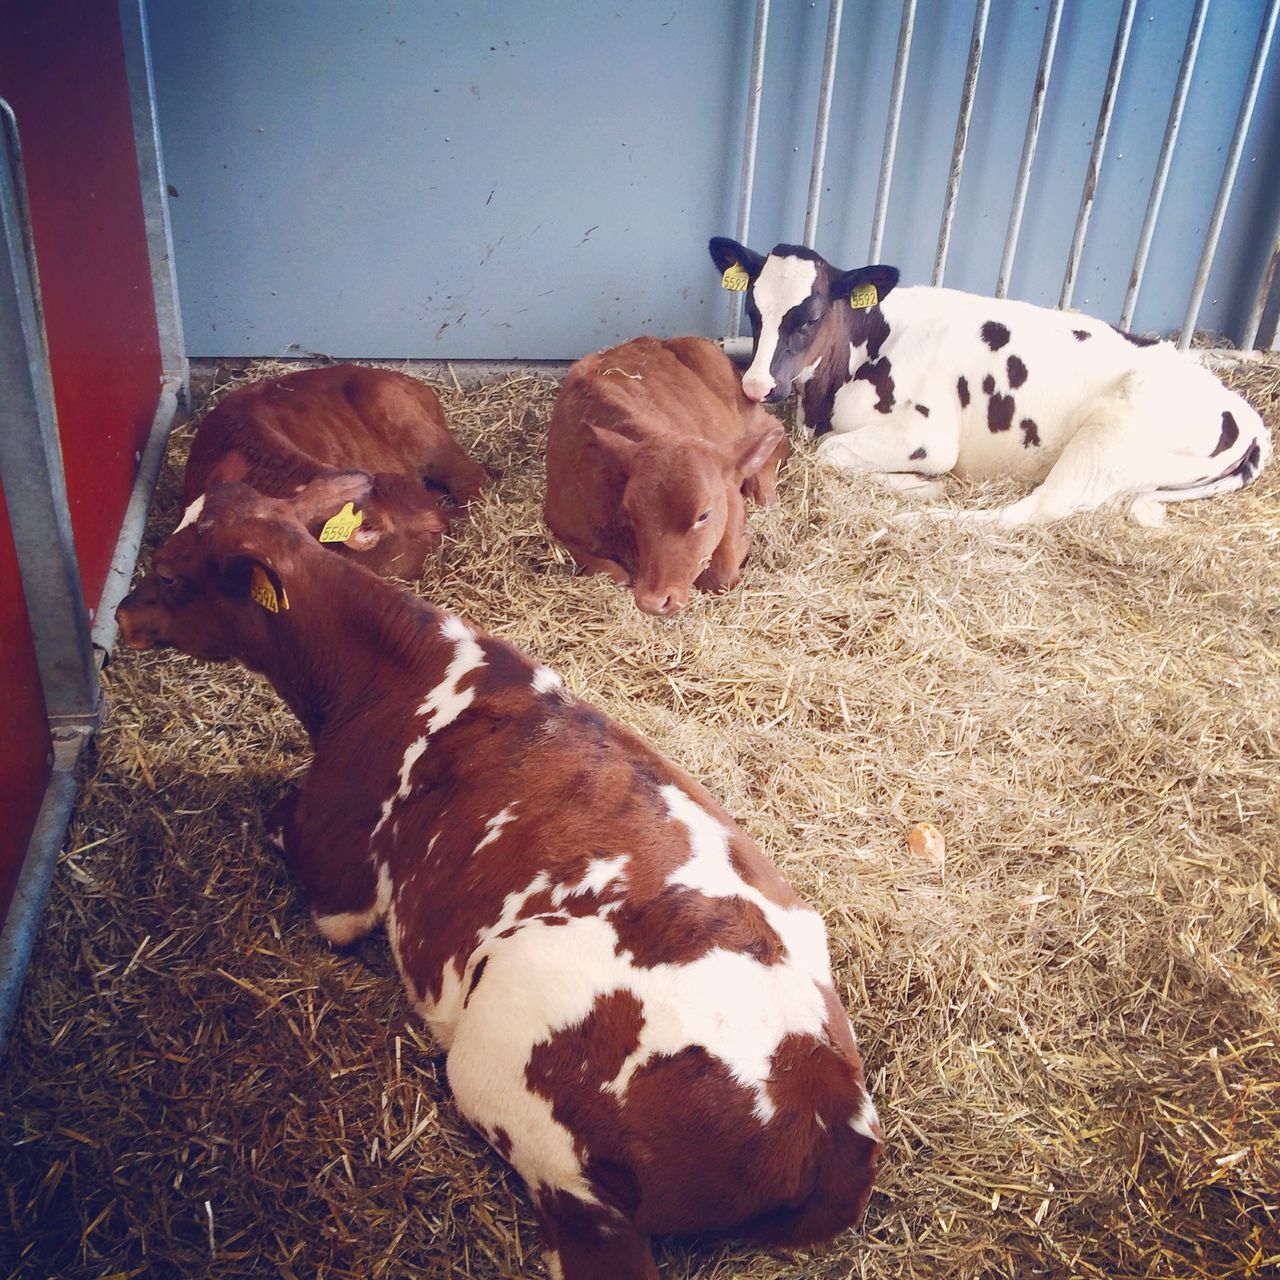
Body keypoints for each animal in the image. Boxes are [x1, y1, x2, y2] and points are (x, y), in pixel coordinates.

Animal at [115, 478, 880, 1280]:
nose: (123, 613)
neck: (395, 676)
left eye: (169, 574)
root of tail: (829, 1113)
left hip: (522, 1090)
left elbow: (276, 815)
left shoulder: (339, 884)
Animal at [542, 335, 788, 614]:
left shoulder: (728, 495)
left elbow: (721, 574)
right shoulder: (560, 524)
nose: (654, 601)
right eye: (630, 512)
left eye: (704, 515)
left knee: (775, 434)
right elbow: (615, 574)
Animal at [711, 238, 1269, 522]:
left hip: (1107, 441)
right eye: (754, 311)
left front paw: (920, 486)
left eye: (808, 317)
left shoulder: (928, 435)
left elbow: (832, 455)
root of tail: (1244, 413)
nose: (757, 386)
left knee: (1026, 512)